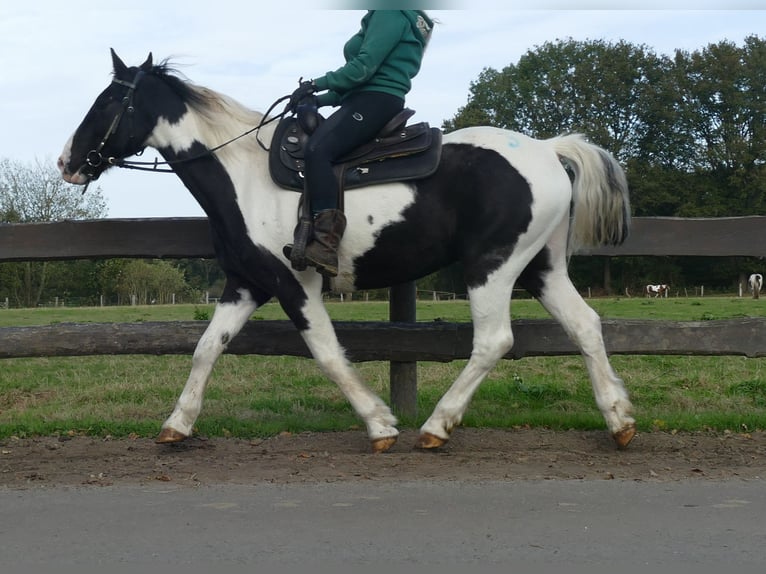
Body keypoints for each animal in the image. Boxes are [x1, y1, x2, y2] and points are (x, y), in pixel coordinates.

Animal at [57, 50, 640, 454]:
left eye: (108, 101)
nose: (68, 161)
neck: (244, 175)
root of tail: (548, 150)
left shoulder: (295, 283)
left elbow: (328, 353)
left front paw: (380, 425)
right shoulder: (246, 283)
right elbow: (206, 348)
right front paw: (176, 425)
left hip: (490, 266)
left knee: (494, 341)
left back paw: (436, 426)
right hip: (540, 268)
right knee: (586, 326)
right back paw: (619, 420)